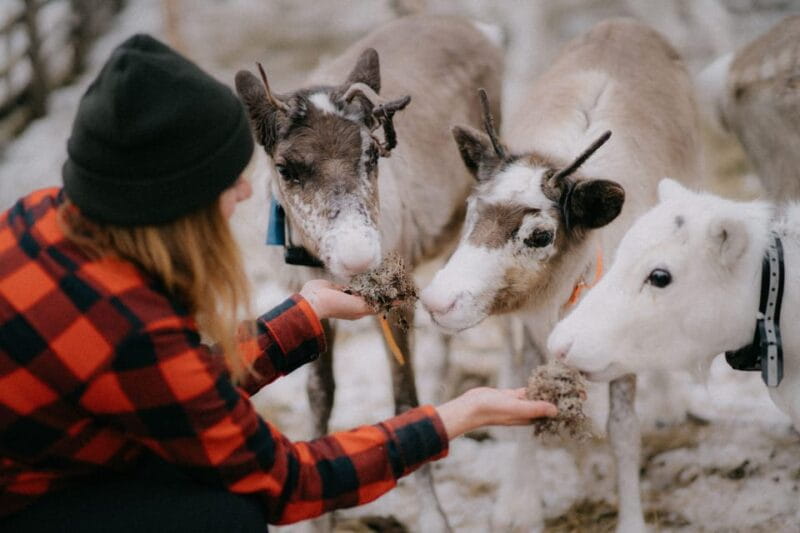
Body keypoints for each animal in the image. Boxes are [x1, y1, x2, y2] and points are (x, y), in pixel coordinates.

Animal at [234, 15, 503, 531]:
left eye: (372, 155)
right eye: (286, 168)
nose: (359, 256)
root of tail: (474, 24)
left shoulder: (397, 302)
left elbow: (406, 398)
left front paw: (433, 515)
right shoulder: (307, 294)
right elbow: (320, 393)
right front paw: (321, 518)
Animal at [420, 18, 703, 533]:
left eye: (539, 235)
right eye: (473, 208)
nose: (438, 302)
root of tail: (625, 22)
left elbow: (624, 432)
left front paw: (631, 519)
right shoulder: (528, 330)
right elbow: (524, 407)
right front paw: (518, 507)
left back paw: (668, 406)